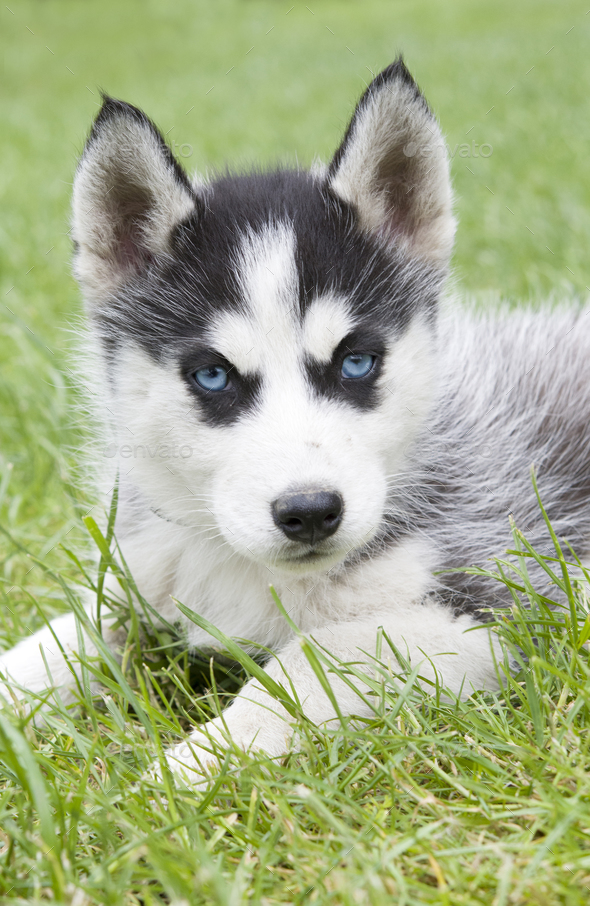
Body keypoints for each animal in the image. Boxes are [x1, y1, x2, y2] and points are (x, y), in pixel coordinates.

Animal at [1, 60, 590, 776]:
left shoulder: (501, 606)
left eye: (357, 362)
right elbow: (55, 642)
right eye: (213, 375)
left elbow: (307, 663)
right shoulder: (145, 581)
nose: (310, 512)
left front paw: (186, 768)